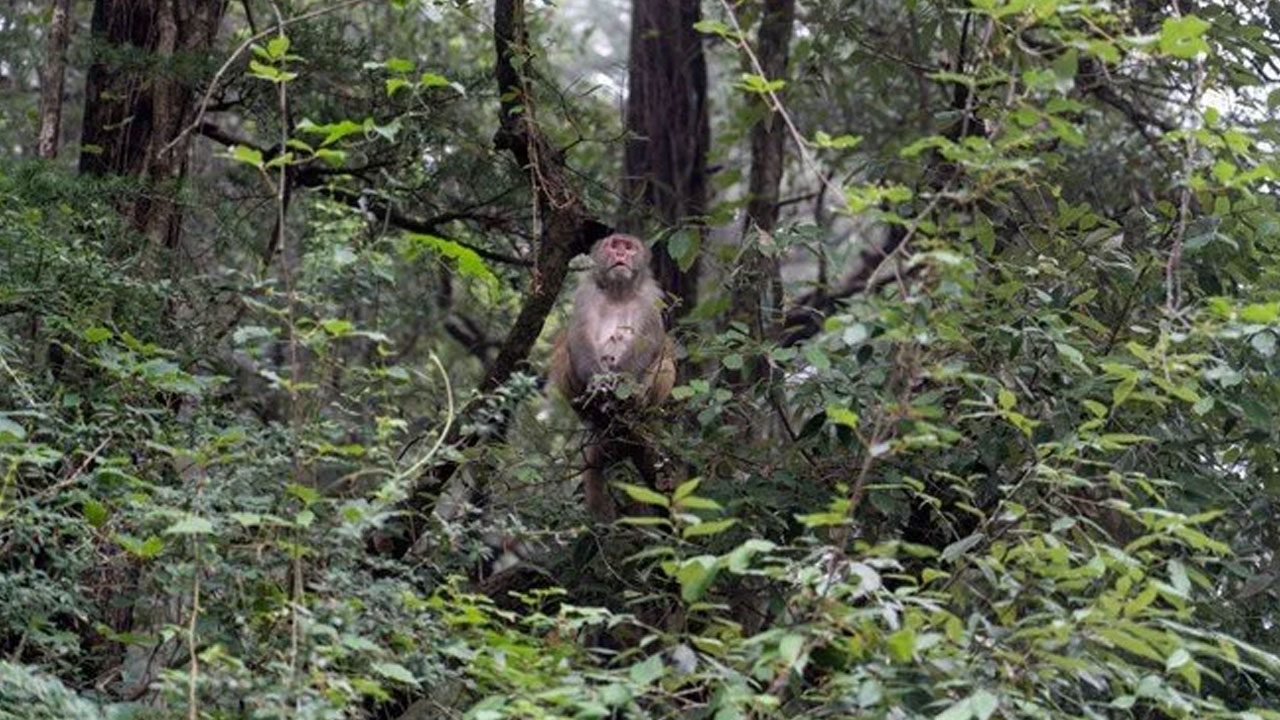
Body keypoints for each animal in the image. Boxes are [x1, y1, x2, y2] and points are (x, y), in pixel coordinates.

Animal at [550, 233, 680, 517]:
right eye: (614, 245)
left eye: (628, 247)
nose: (620, 255)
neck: (619, 292)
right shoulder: (586, 293)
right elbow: (579, 335)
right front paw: (597, 385)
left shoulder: (651, 297)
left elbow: (649, 341)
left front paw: (617, 386)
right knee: (563, 343)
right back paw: (591, 407)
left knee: (666, 354)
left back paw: (634, 404)